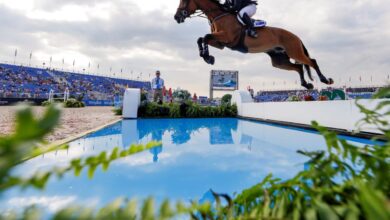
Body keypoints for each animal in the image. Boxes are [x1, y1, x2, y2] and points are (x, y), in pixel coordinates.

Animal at [175, 0, 334, 90]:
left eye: (184, 1)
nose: (176, 17)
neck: (219, 16)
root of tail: (296, 36)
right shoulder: (221, 43)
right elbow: (202, 38)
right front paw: (208, 57)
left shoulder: (226, 37)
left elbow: (205, 37)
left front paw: (208, 57)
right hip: (279, 61)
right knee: (299, 67)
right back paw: (307, 85)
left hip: (295, 51)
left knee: (311, 61)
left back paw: (325, 80)